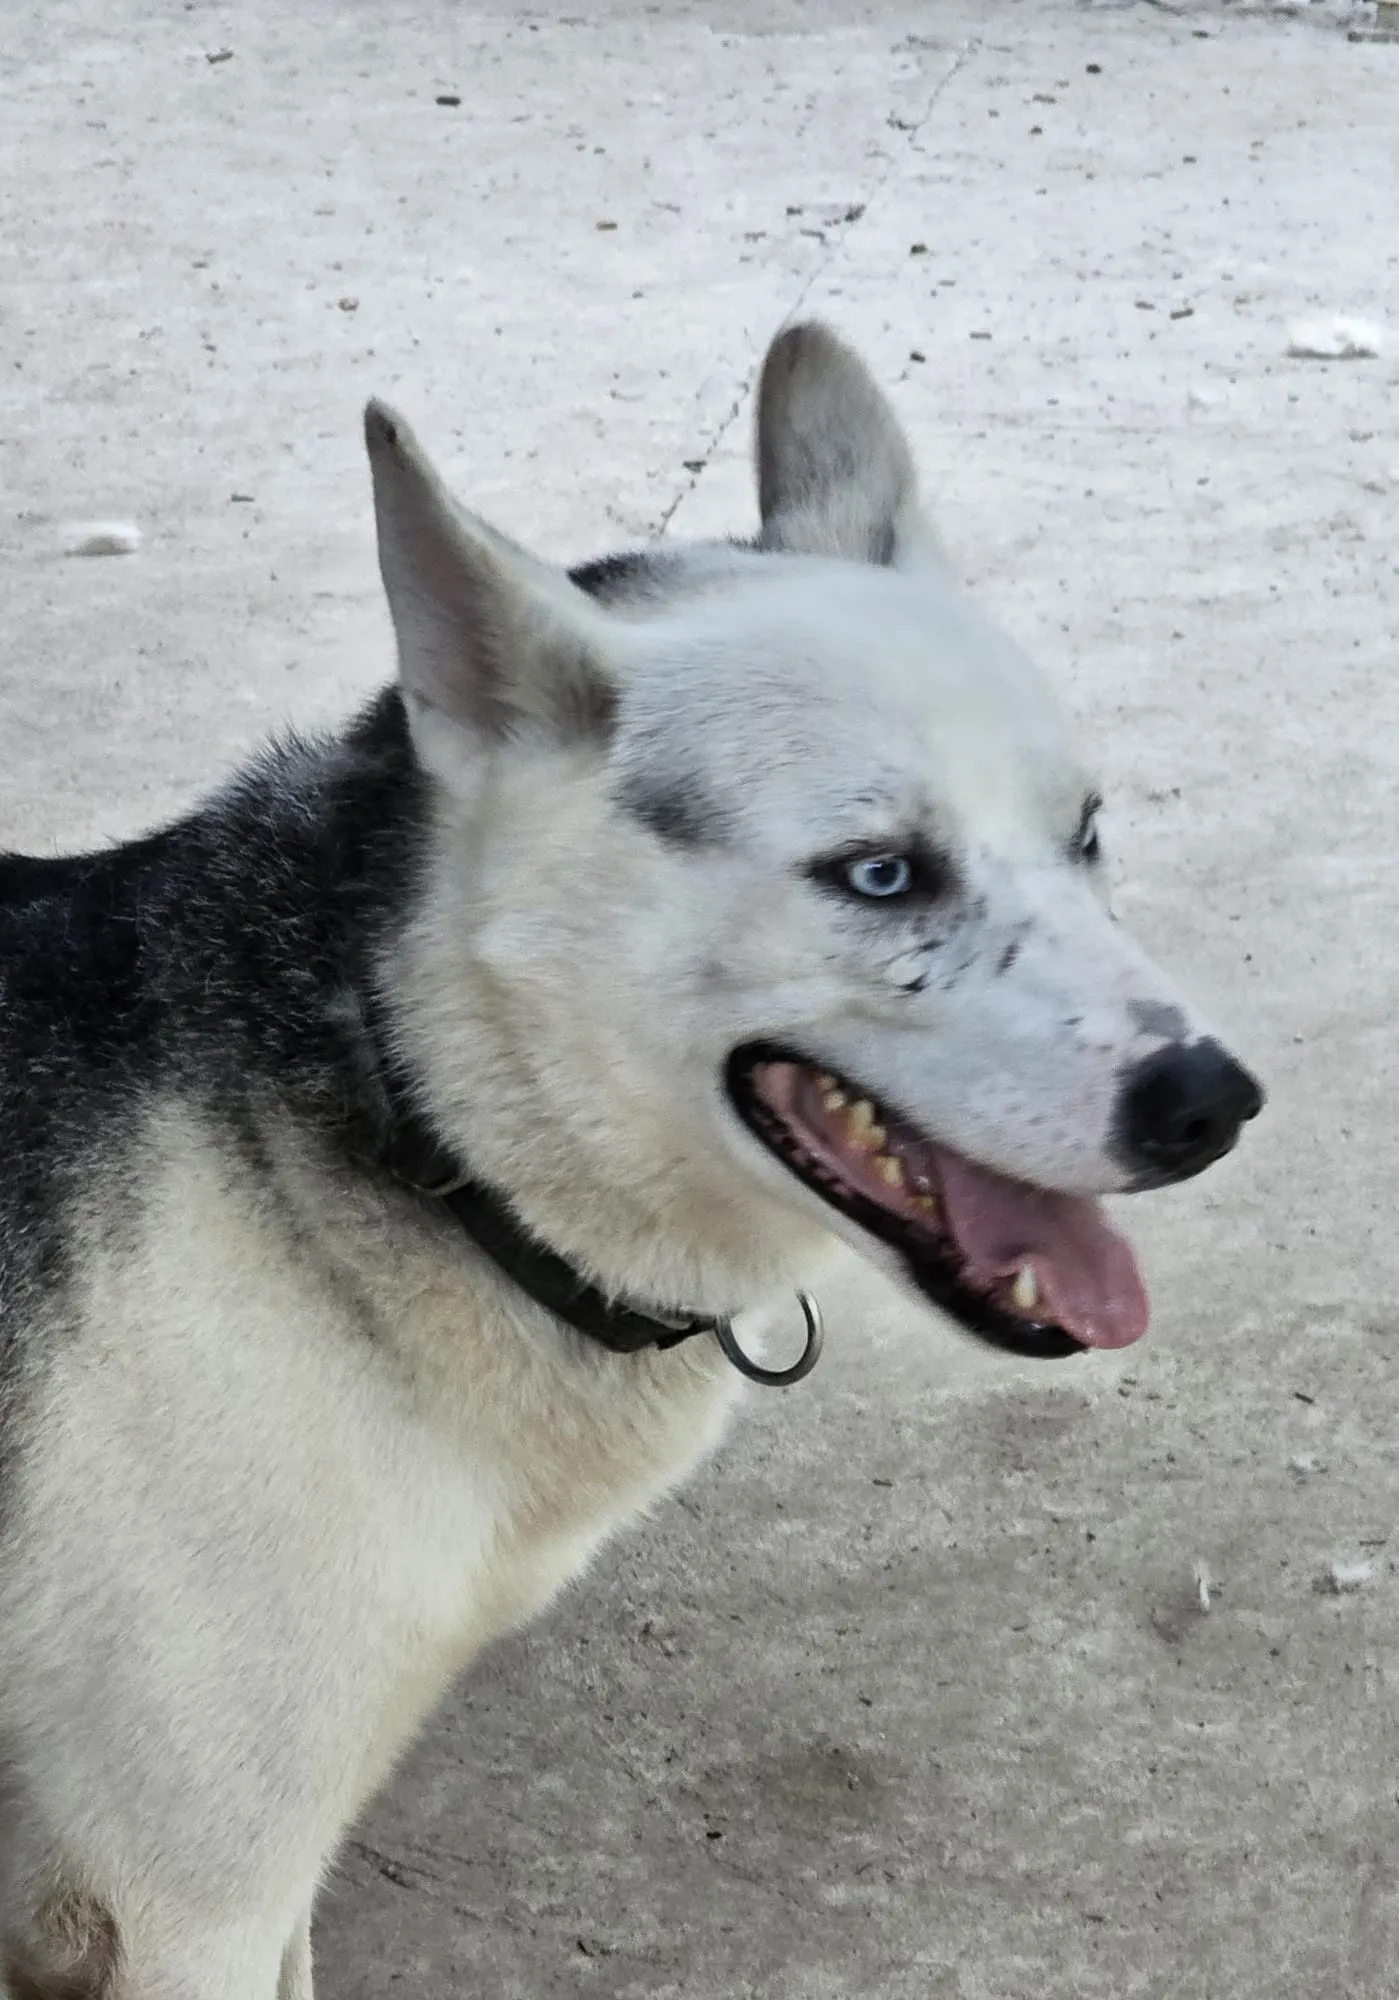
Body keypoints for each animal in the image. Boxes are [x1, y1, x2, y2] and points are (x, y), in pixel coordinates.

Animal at [0, 322, 1262, 1996]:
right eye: (879, 875)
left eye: (1084, 834)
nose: (1210, 1104)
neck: (439, 1141)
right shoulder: (189, 1903)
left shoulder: (250, 1895)